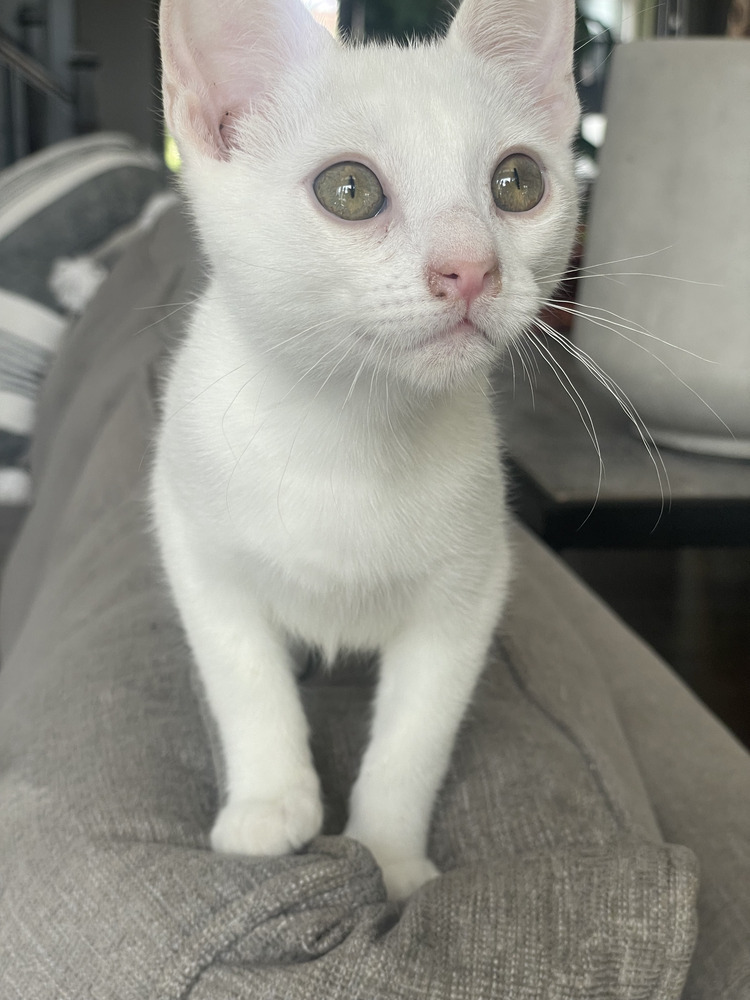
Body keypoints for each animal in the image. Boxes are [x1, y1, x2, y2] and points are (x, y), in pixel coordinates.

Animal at [150, 0, 580, 900]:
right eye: (349, 190)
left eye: (518, 182)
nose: (470, 268)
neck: (351, 432)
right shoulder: (194, 545)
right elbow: (246, 680)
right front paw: (270, 806)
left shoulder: (469, 590)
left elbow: (414, 739)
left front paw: (388, 856)